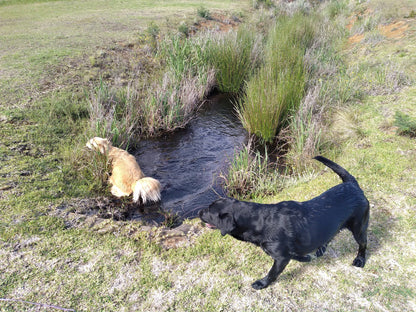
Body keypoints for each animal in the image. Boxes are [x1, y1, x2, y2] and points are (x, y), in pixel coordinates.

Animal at [200, 156, 368, 290]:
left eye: (209, 211)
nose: (199, 212)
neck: (260, 221)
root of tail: (352, 184)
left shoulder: (281, 257)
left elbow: (272, 272)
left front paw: (262, 283)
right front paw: (306, 257)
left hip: (359, 227)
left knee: (363, 244)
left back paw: (360, 259)